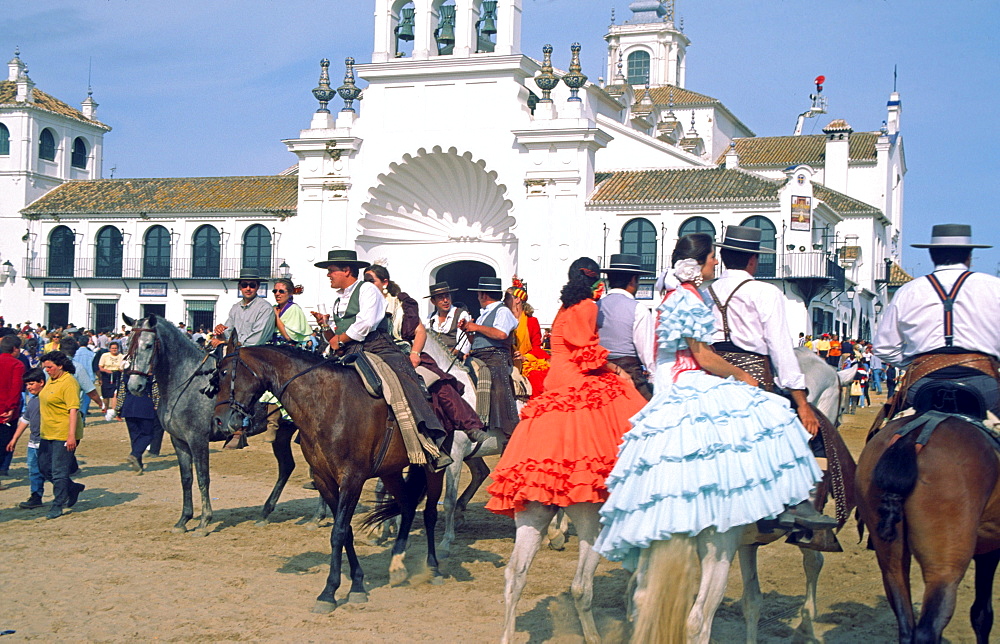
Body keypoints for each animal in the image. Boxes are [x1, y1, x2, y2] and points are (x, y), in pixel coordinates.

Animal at [120, 314, 324, 532]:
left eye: (148, 345)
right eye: (129, 345)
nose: (135, 385)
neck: (187, 384)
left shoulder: (198, 439)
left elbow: (203, 477)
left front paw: (204, 521)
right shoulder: (179, 441)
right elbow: (186, 478)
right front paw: (183, 520)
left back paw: (317, 516)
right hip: (282, 435)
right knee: (286, 466)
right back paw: (265, 513)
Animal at [211, 344, 446, 612]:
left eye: (225, 373)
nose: (219, 420)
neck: (326, 405)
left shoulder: (352, 479)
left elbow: (339, 532)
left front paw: (329, 592)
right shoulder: (325, 480)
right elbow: (346, 532)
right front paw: (357, 585)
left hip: (435, 469)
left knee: (429, 514)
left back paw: (434, 569)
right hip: (391, 472)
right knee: (407, 506)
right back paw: (397, 564)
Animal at [852, 384, 1000, 640]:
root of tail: (913, 437)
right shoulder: (991, 546)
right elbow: (982, 614)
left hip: (891, 558)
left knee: (905, 626)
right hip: (944, 564)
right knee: (927, 630)